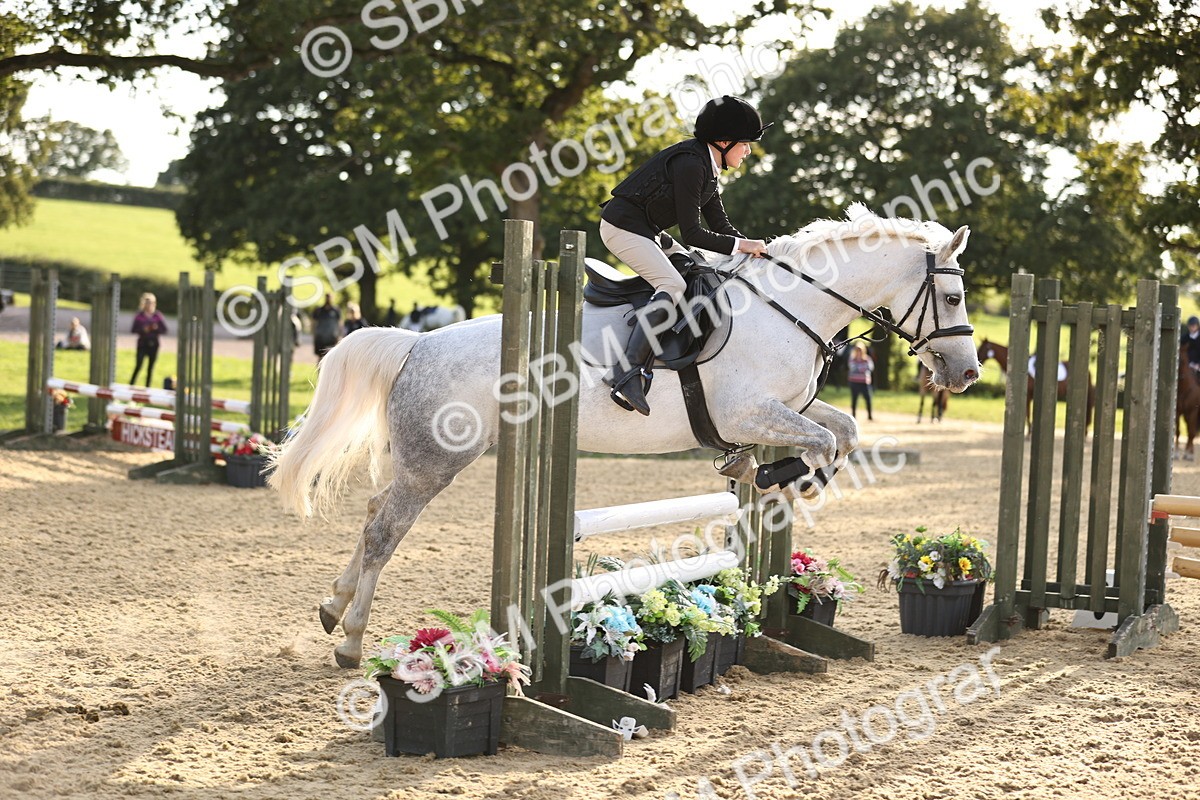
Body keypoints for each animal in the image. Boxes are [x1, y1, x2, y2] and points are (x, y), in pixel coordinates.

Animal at [269, 204, 981, 668]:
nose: (967, 373)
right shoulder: (749, 411)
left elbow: (845, 431)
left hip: (421, 460)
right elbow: (823, 444)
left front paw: (769, 474)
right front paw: (774, 474)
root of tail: (416, 343)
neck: (792, 308)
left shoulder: (790, 406)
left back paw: (333, 607)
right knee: (384, 532)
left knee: (371, 515)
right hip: (436, 462)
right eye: (952, 299)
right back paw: (351, 639)